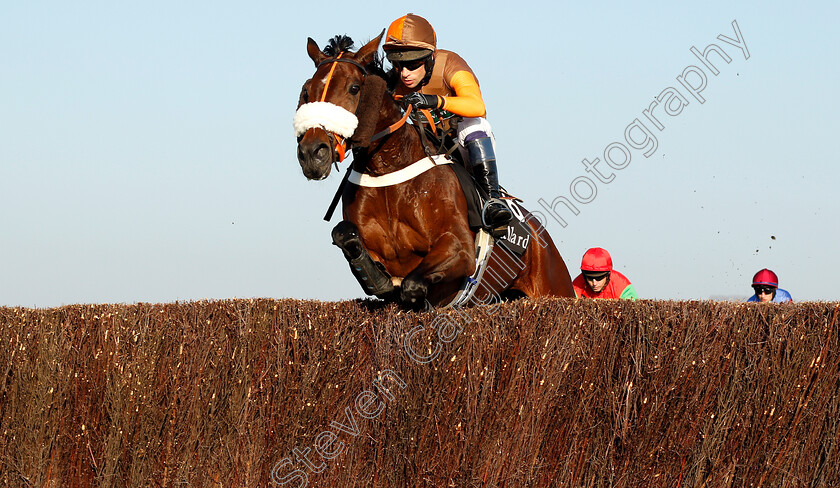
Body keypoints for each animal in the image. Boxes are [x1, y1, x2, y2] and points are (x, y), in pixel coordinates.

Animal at [296, 33, 576, 308]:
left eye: (354, 88)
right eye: (306, 90)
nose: (312, 152)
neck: (387, 168)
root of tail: (541, 237)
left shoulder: (461, 248)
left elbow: (413, 285)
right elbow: (345, 235)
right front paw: (380, 280)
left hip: (554, 285)